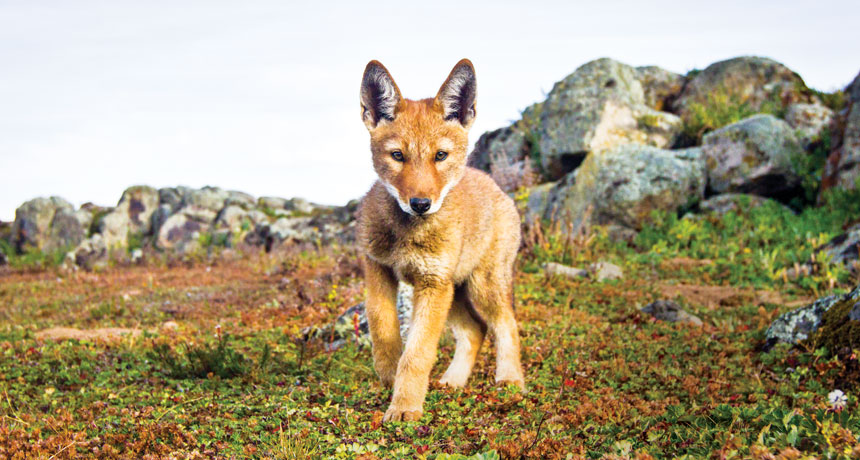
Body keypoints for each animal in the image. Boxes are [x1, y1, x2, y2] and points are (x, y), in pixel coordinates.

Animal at [357, 59, 525, 422]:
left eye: (440, 156)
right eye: (397, 156)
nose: (420, 204)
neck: (408, 235)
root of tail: (496, 186)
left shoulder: (431, 285)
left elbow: (417, 354)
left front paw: (405, 407)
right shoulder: (378, 270)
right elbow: (383, 330)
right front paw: (388, 377)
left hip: (479, 287)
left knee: (506, 325)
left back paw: (510, 380)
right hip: (455, 293)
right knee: (476, 331)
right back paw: (452, 382)